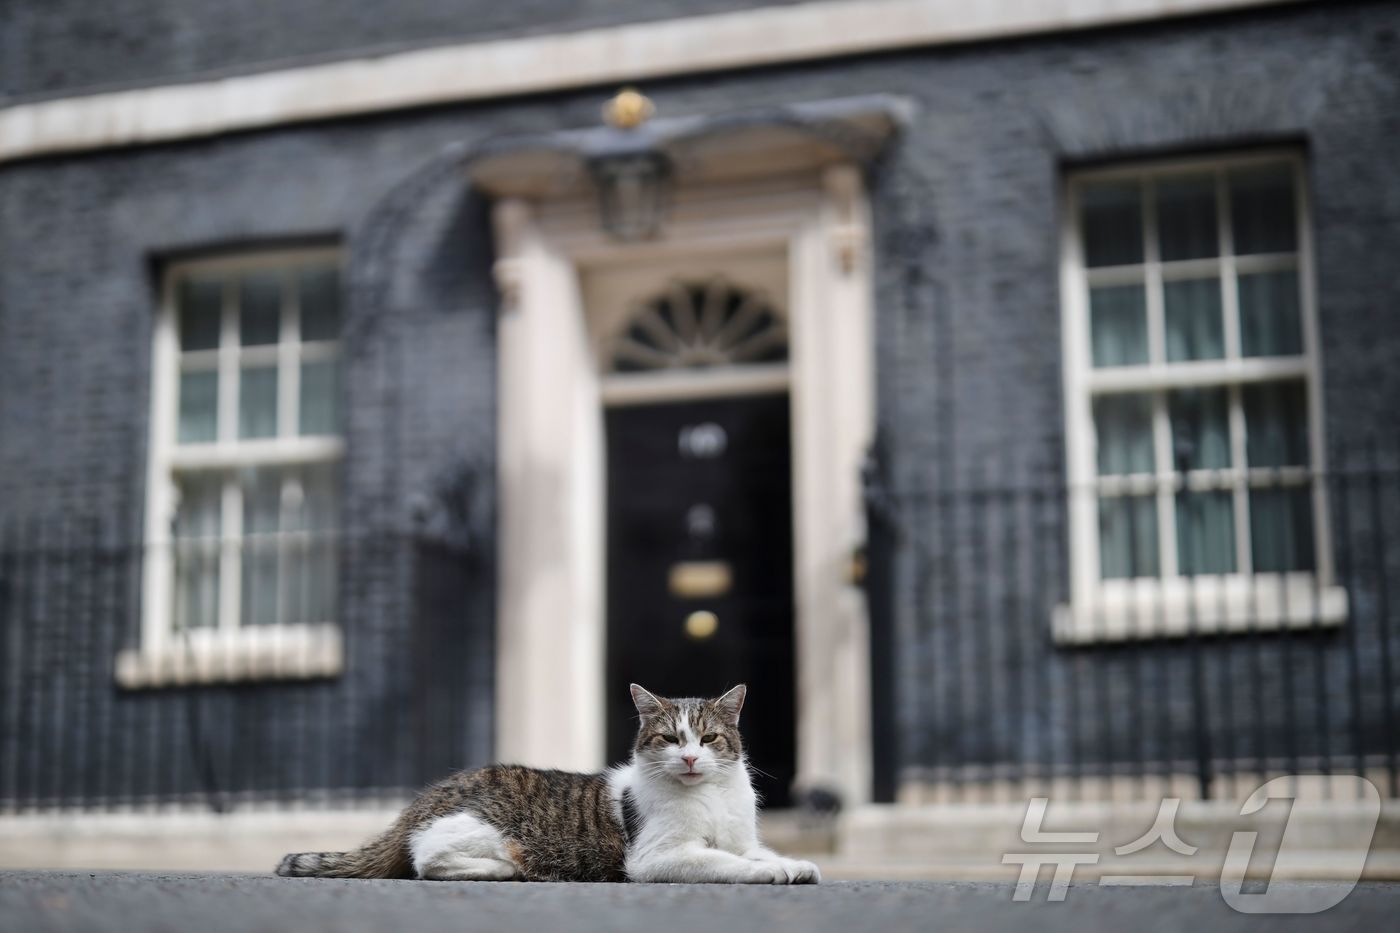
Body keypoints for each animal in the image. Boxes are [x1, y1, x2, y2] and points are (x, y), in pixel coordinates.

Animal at [277, 680, 817, 885]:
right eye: (669, 738)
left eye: (707, 738)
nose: (687, 758)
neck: (709, 796)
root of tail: (425, 799)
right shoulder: (656, 858)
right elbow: (725, 862)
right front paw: (771, 873)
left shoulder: (743, 839)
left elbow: (755, 852)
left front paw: (794, 864)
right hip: (485, 833)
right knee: (427, 860)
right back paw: (504, 871)